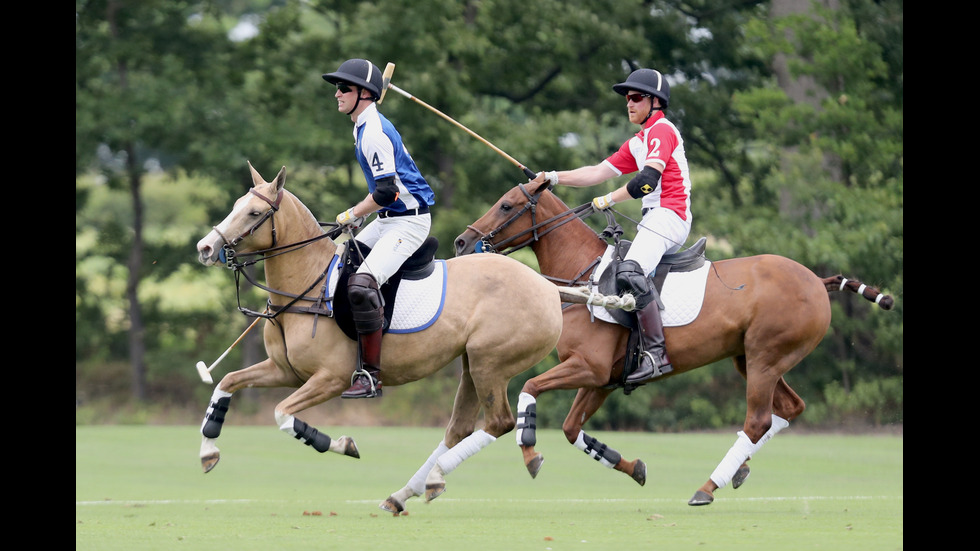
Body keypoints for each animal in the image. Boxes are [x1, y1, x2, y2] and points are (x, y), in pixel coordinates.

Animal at [195, 163, 564, 512]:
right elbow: (227, 381)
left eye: (254, 213)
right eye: (236, 206)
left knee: (499, 421)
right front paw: (208, 452)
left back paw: (436, 477)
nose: (206, 247)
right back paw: (403, 494)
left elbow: (282, 414)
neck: (308, 287)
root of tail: (548, 287)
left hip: (492, 363)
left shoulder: (330, 378)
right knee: (459, 427)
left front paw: (342, 444)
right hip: (471, 363)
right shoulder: (284, 370)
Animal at [456, 181, 892, 504]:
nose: (462, 242)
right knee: (790, 408)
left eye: (506, 205)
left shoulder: (588, 367)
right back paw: (739, 468)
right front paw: (632, 466)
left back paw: (707, 487)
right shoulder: (603, 380)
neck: (583, 278)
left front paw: (530, 451)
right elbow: (570, 427)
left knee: (759, 419)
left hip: (766, 357)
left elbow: (530, 388)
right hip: (750, 357)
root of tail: (816, 280)